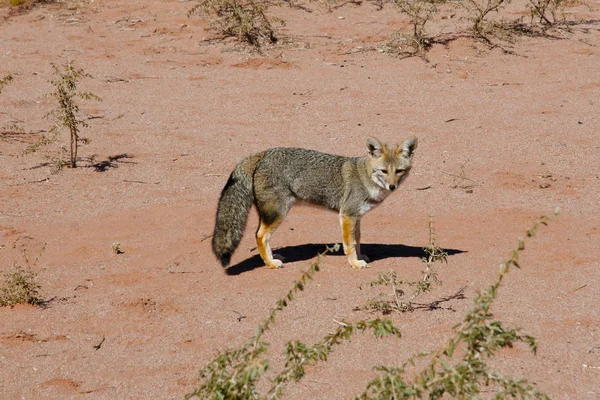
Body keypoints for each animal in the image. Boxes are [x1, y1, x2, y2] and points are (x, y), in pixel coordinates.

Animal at [211, 136, 418, 270]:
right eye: (384, 171)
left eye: (399, 171)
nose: (392, 186)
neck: (365, 176)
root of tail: (262, 153)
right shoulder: (347, 215)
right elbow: (349, 244)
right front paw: (354, 263)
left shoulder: (356, 217)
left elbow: (357, 240)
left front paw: (360, 257)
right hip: (278, 212)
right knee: (260, 235)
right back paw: (270, 264)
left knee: (262, 236)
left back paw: (271, 257)